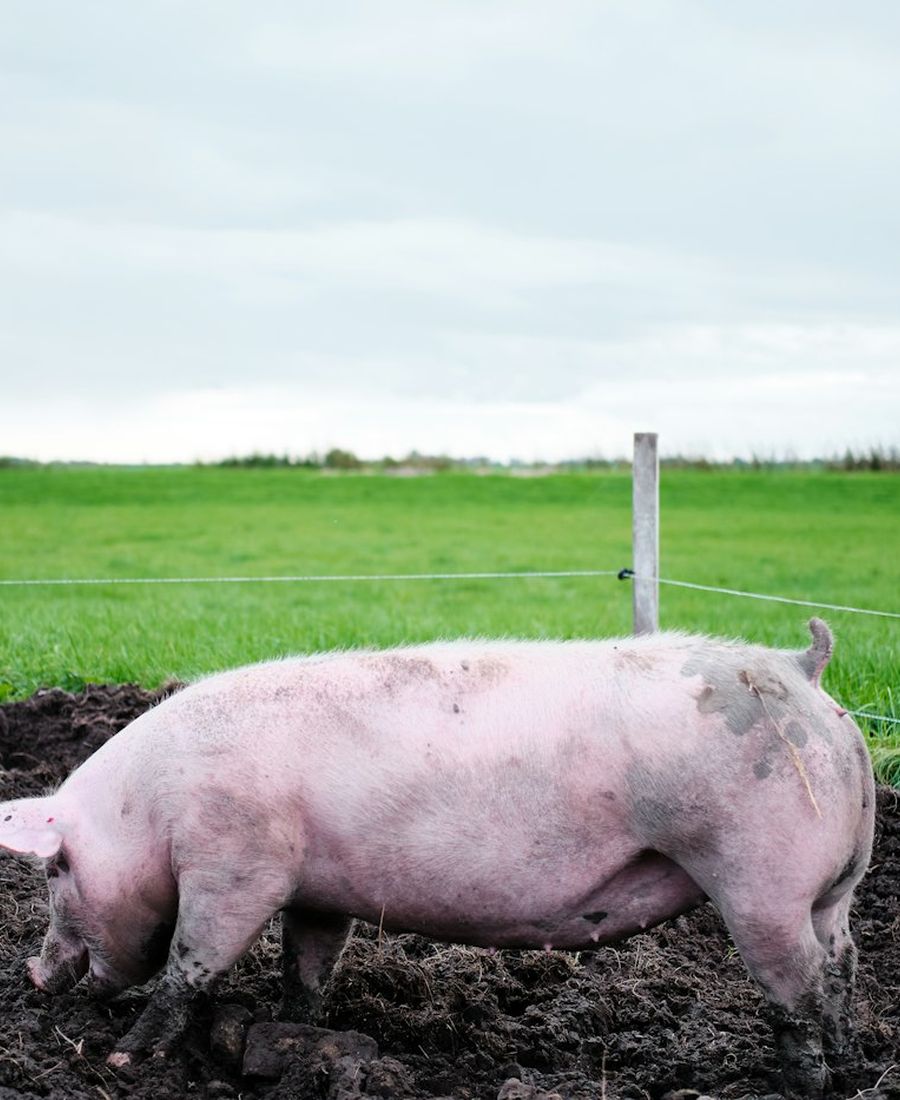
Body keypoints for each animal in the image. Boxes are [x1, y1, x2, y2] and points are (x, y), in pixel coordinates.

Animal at [0, 619, 874, 1096]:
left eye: (55, 868)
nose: (34, 975)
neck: (150, 808)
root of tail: (801, 670)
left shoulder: (237, 865)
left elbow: (191, 962)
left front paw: (124, 1058)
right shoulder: (317, 889)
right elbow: (307, 968)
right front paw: (287, 1039)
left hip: (759, 880)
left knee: (797, 986)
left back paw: (798, 1084)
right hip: (833, 890)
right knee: (842, 966)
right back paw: (849, 1065)